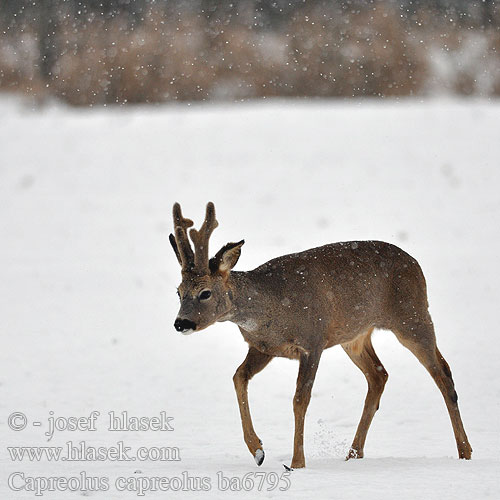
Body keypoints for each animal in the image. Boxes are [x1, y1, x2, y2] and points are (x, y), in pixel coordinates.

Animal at [170, 201, 470, 466]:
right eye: (178, 291)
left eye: (205, 293)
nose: (181, 323)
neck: (270, 307)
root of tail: (416, 264)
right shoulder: (263, 347)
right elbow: (238, 377)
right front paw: (258, 450)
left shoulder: (312, 341)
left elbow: (300, 400)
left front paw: (297, 463)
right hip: (355, 336)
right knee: (379, 375)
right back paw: (353, 454)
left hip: (412, 316)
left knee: (443, 373)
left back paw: (465, 452)